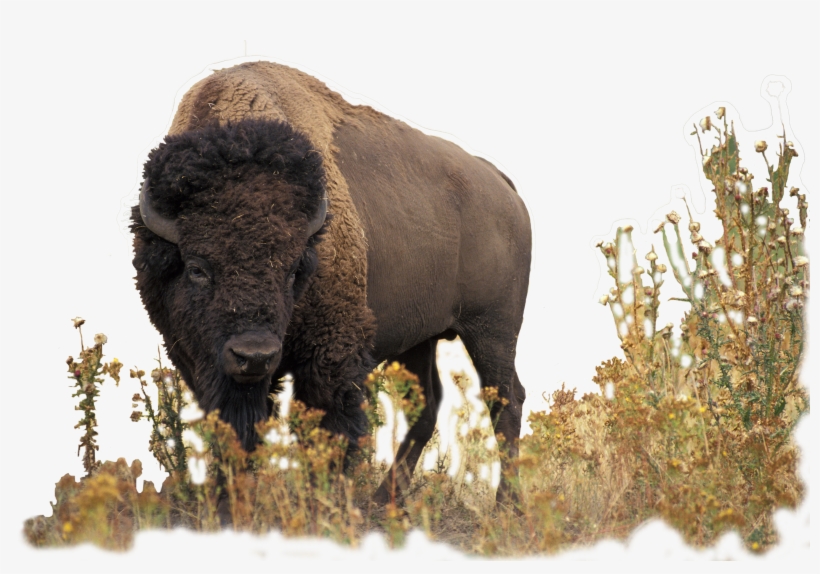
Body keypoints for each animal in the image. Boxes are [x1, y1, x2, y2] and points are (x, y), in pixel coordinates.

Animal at [131, 62, 531, 503]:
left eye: (293, 269)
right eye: (197, 268)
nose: (254, 355)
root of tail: (501, 184)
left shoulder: (331, 354)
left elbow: (330, 431)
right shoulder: (196, 358)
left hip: (492, 331)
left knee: (506, 400)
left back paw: (506, 503)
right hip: (421, 338)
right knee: (428, 405)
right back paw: (384, 501)